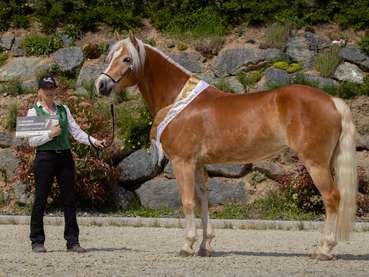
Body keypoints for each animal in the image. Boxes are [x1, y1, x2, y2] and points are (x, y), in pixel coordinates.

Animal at [95, 33, 356, 260]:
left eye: (127, 59)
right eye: (110, 58)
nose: (101, 85)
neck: (178, 99)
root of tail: (332, 100)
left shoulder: (183, 163)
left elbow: (187, 202)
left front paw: (187, 245)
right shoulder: (198, 165)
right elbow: (203, 201)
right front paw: (205, 245)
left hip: (316, 163)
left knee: (331, 197)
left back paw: (324, 249)